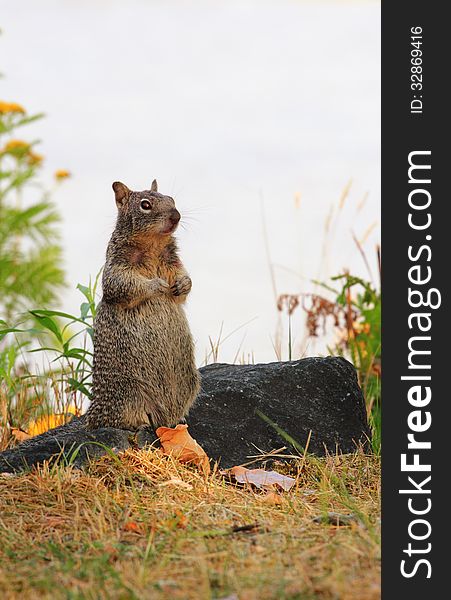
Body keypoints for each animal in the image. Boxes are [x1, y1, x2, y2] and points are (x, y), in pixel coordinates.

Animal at [85, 178, 201, 432]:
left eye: (172, 199)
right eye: (145, 205)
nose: (176, 216)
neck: (153, 245)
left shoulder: (173, 261)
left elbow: (183, 282)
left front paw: (182, 284)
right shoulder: (117, 269)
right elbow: (125, 285)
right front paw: (157, 285)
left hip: (190, 382)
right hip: (128, 393)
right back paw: (140, 424)